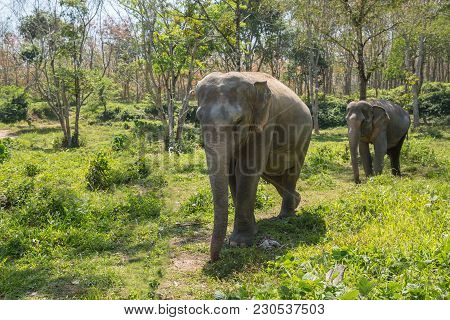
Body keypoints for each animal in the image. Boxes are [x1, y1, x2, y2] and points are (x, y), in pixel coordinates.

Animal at [197, 71, 312, 262]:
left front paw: (240, 243)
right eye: (199, 118)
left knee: (291, 173)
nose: (215, 259)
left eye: (238, 121)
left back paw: (285, 216)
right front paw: (250, 233)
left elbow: (248, 169)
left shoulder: (266, 123)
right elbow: (232, 173)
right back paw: (296, 201)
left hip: (304, 140)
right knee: (274, 176)